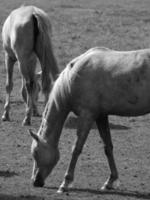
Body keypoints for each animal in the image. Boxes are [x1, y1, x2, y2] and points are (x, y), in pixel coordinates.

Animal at [28, 46, 150, 192]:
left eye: (35, 153)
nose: (35, 181)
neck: (72, 79)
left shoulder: (87, 115)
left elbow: (76, 148)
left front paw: (66, 182)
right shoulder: (101, 116)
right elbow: (108, 147)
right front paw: (110, 181)